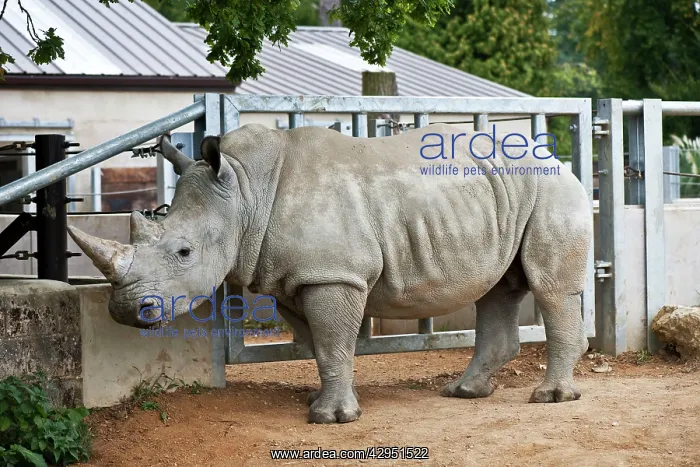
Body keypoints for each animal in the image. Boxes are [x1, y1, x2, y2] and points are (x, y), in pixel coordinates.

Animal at [67, 123, 592, 424]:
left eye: (183, 251)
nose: (126, 310)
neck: (243, 191)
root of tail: (556, 159)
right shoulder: (292, 278)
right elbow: (318, 345)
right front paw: (322, 405)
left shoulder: (333, 274)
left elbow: (333, 340)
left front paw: (332, 420)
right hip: (502, 195)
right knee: (499, 288)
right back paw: (464, 393)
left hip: (553, 190)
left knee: (548, 287)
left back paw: (552, 398)